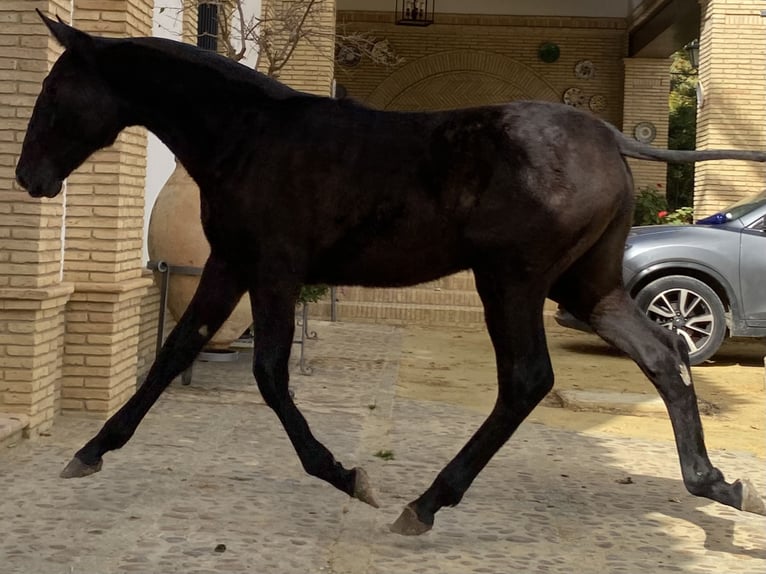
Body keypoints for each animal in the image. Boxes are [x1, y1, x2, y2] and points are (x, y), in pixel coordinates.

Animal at [15, 12, 764, 536]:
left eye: (54, 92)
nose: (29, 177)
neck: (249, 135)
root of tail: (609, 137)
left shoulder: (276, 269)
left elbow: (269, 374)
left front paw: (347, 477)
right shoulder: (230, 265)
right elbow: (175, 352)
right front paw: (91, 450)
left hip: (511, 280)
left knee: (527, 379)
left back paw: (427, 502)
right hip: (587, 285)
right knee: (663, 358)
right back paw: (715, 482)